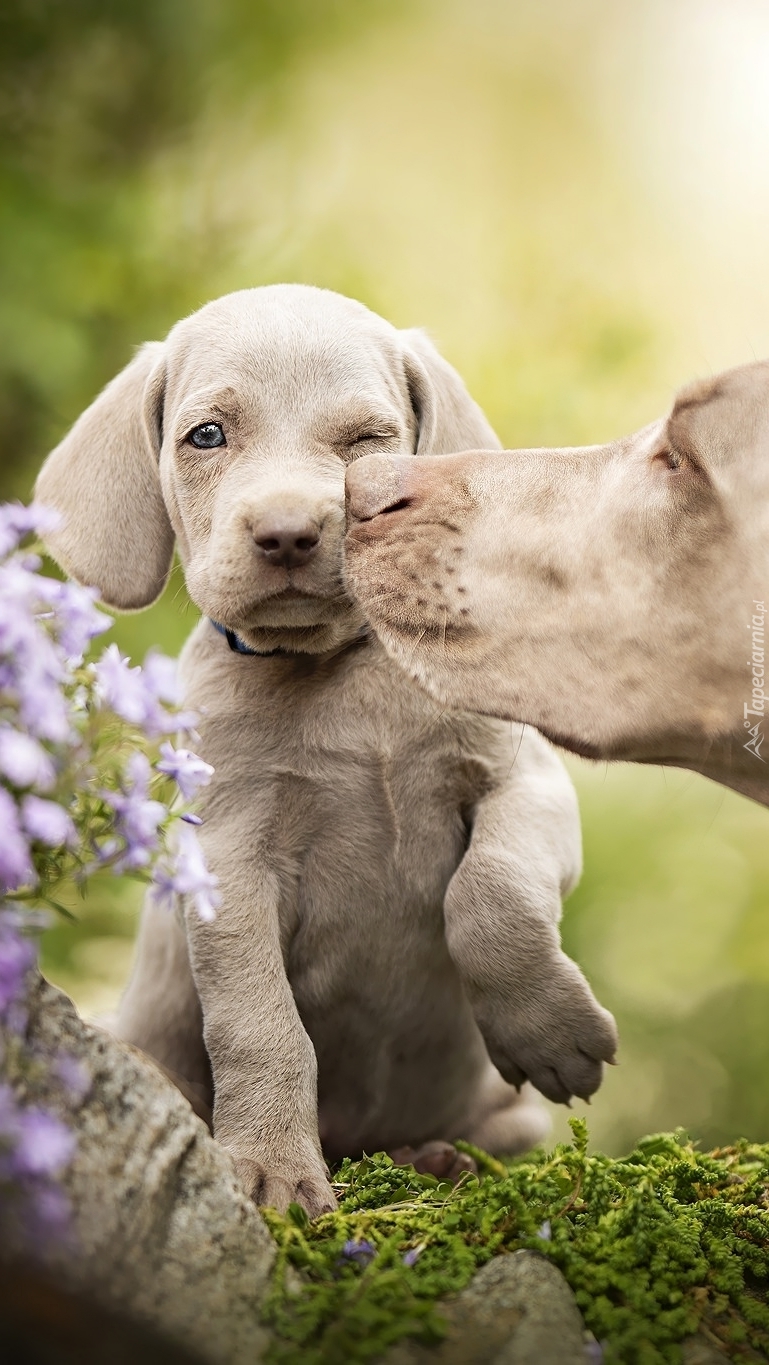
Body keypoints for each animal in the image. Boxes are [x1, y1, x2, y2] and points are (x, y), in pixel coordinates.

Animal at [36, 279, 617, 1217]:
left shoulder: (523, 782)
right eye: (207, 435)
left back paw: (437, 1157)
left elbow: (489, 895)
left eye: (367, 441)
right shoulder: (227, 858)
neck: (340, 670)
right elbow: (259, 1021)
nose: (286, 532)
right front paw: (271, 1165)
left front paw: (548, 1032)